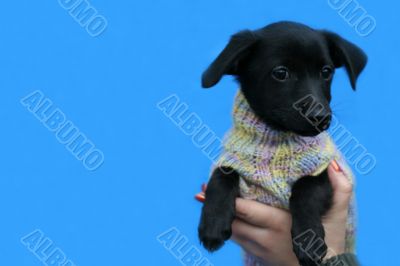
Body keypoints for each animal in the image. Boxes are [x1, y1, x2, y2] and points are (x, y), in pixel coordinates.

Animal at [198, 21, 368, 266]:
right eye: (280, 73)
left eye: (326, 72)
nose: (320, 116)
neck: (276, 141)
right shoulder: (235, 161)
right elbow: (222, 174)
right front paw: (212, 223)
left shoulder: (324, 171)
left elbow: (305, 188)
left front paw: (309, 240)